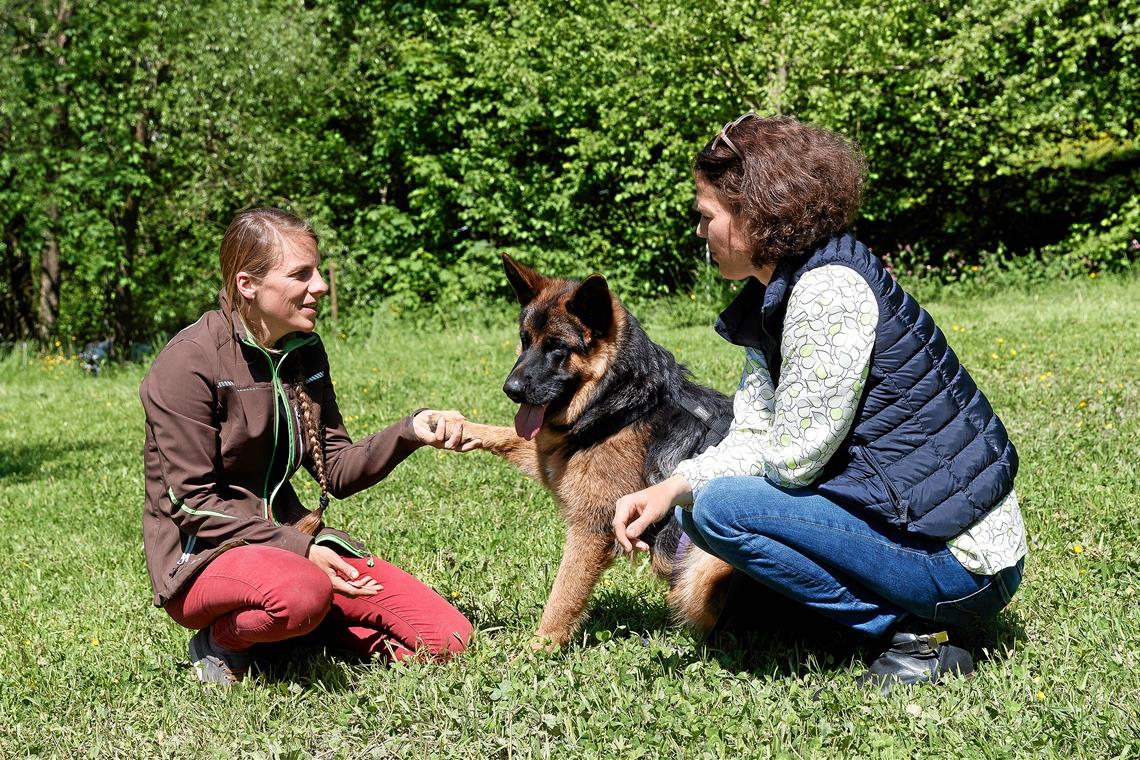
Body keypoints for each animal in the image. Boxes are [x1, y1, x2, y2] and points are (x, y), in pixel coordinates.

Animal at [460, 255, 738, 647]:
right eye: (525, 342)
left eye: (557, 348)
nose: (510, 389)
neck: (623, 405)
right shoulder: (553, 457)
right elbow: (509, 436)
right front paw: (449, 425)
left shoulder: (591, 531)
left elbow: (561, 598)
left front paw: (534, 652)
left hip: (702, 569)